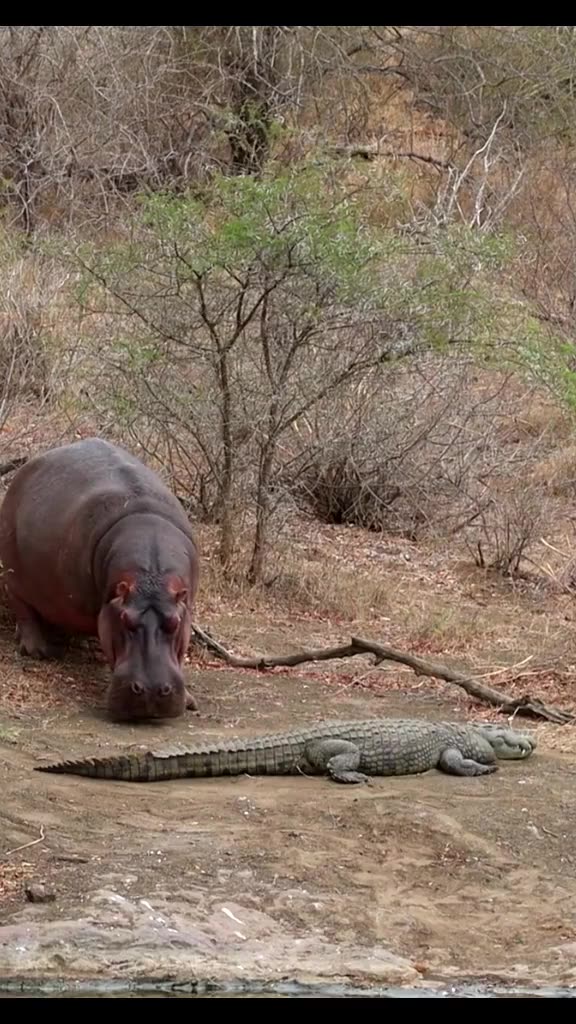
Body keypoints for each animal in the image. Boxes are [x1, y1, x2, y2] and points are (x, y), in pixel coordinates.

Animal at [0, 438, 200, 721]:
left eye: (175, 622)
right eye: (125, 619)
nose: (151, 691)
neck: (151, 577)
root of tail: (26, 467)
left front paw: (190, 701)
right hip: (12, 572)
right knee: (24, 609)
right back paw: (39, 650)